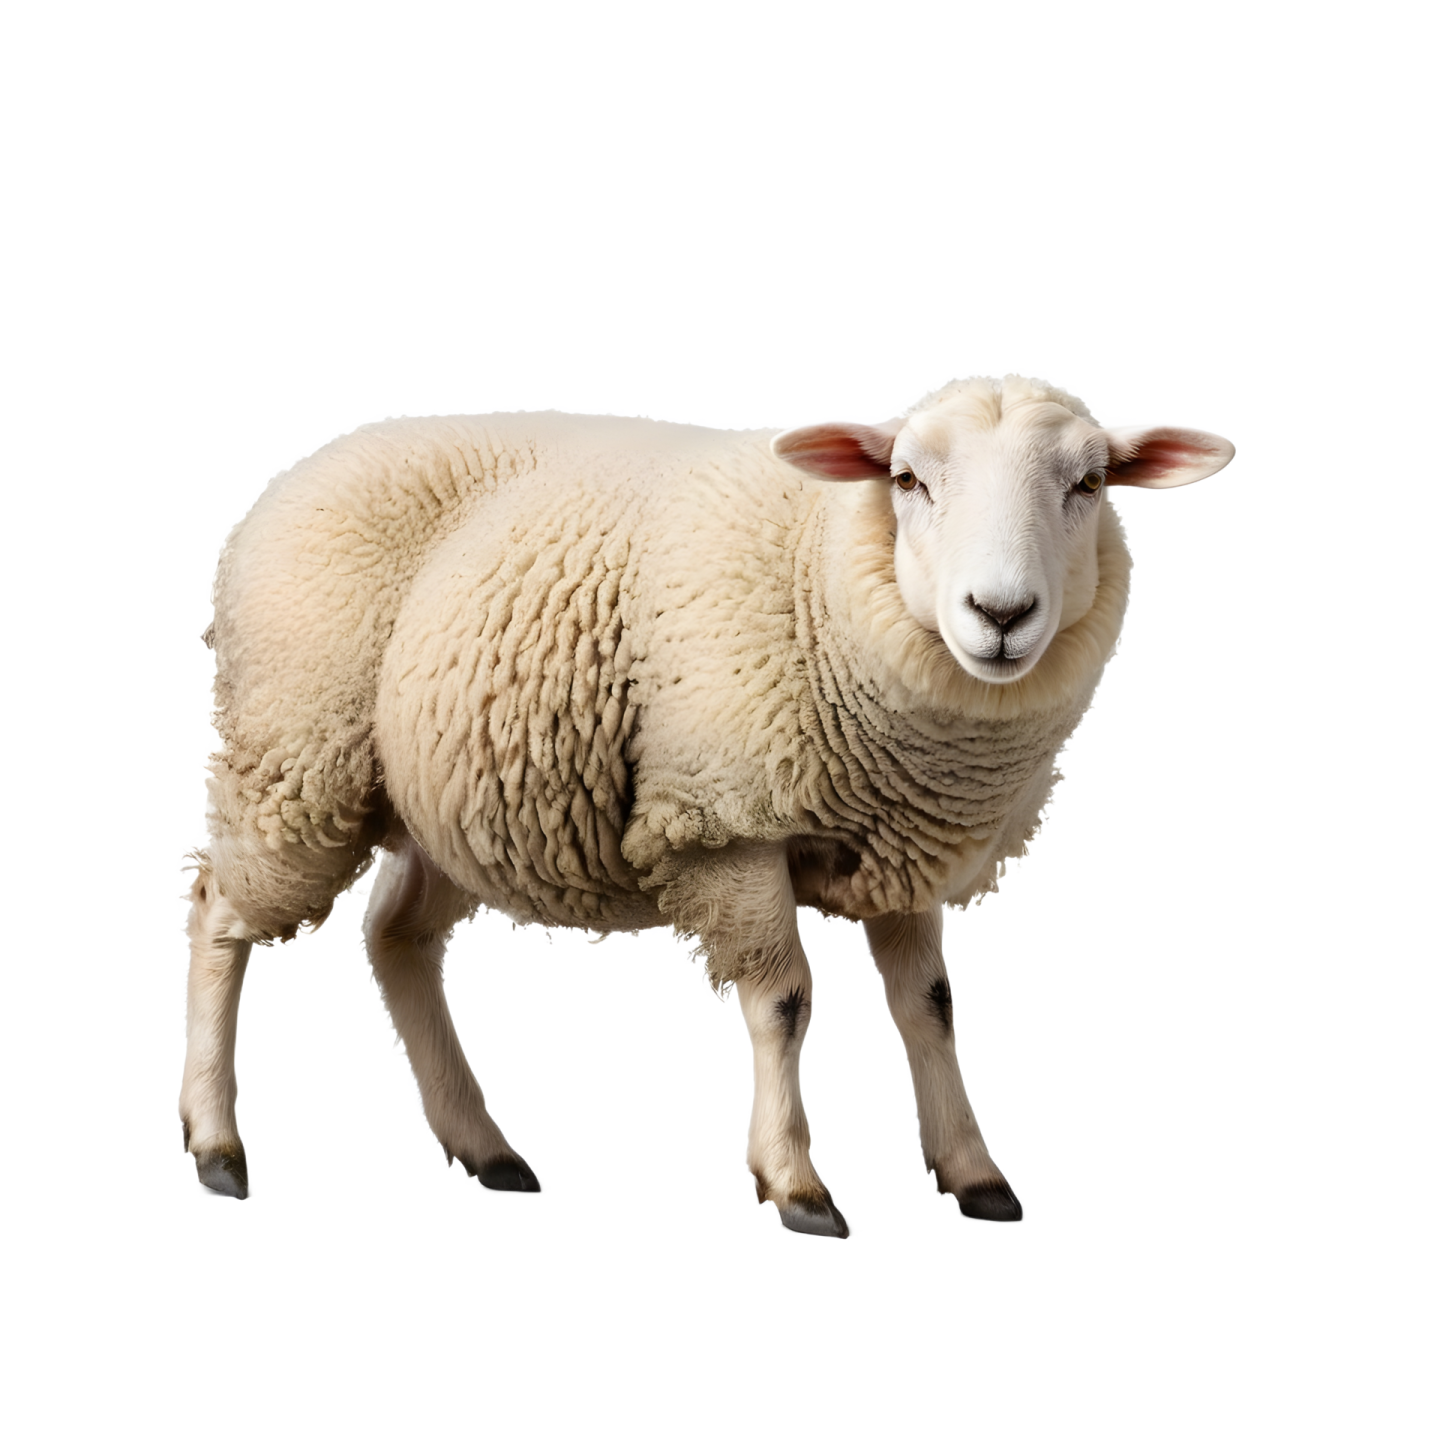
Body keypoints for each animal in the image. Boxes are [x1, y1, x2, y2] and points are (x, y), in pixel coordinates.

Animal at [178, 371, 1236, 1236]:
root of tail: (295, 471)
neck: (822, 573)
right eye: (907, 481)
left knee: (395, 938)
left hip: (450, 797)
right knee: (220, 915)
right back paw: (218, 1147)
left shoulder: (905, 844)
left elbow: (930, 1009)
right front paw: (797, 1184)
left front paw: (975, 1176)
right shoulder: (726, 821)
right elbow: (785, 1000)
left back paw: (484, 1149)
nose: (1002, 615)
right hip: (294, 754)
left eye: (1088, 485)